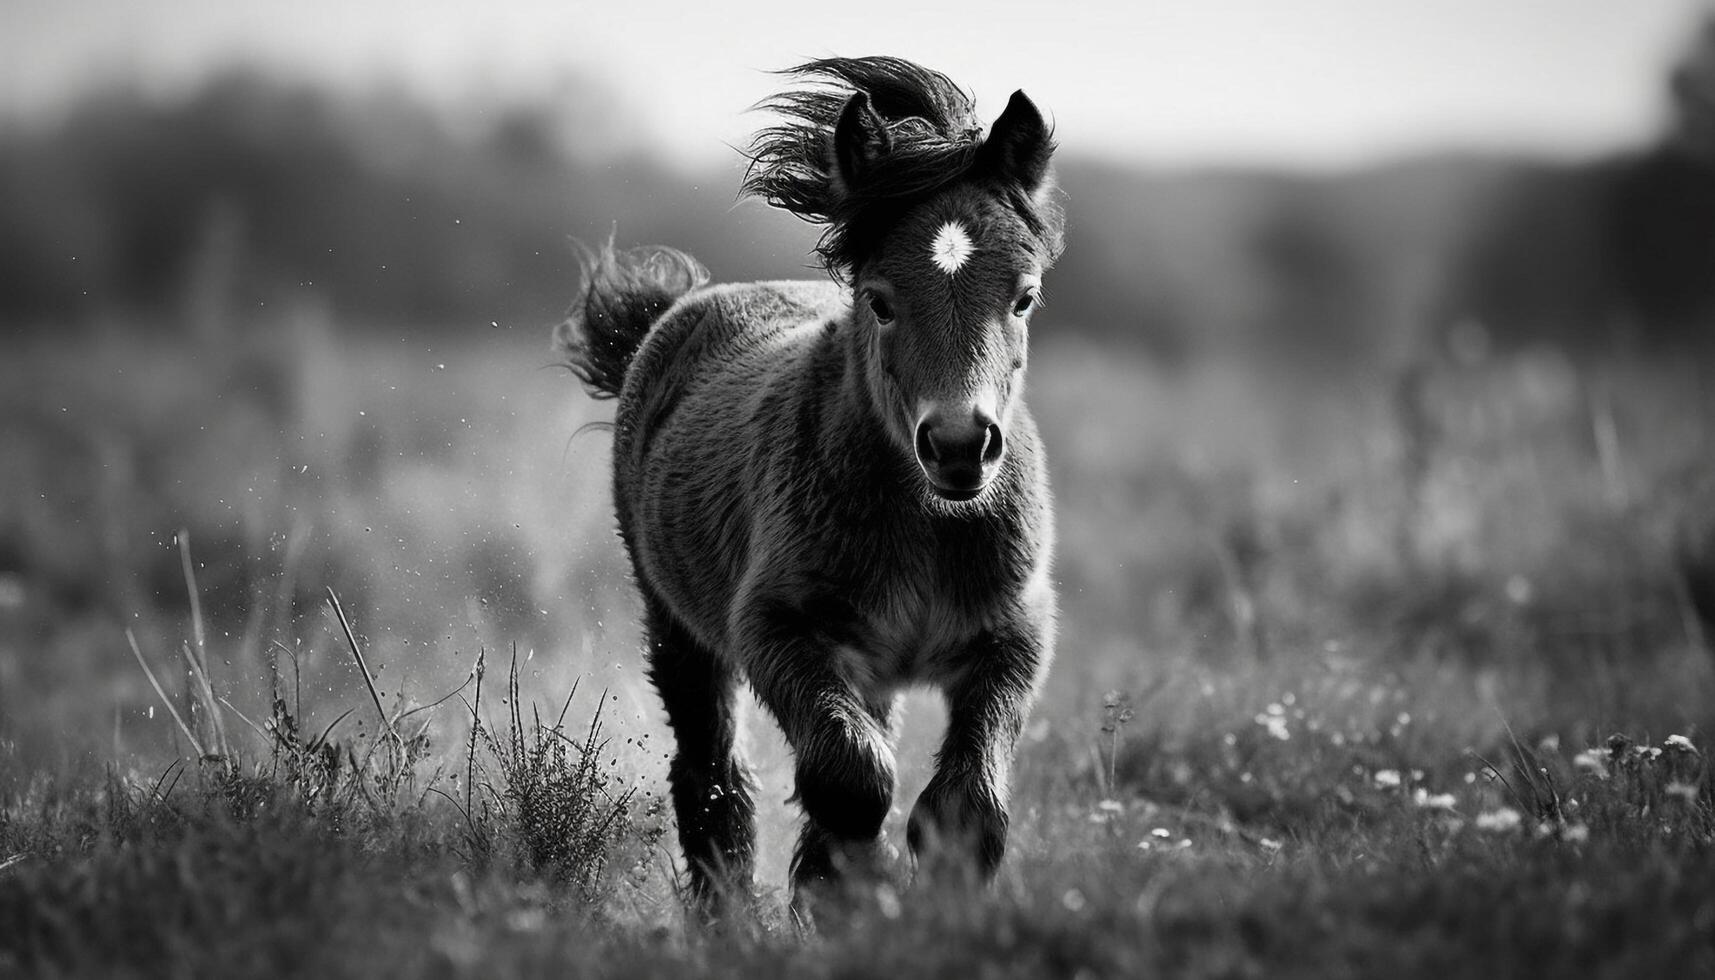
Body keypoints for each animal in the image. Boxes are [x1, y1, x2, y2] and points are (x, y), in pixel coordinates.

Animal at [552, 57, 1056, 919]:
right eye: (880, 300)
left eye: (1022, 296)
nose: (959, 446)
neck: (927, 523)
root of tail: (677, 310)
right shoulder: (776, 629)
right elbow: (851, 781)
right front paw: (853, 897)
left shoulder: (1011, 636)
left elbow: (961, 806)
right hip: (676, 624)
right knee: (712, 779)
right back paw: (728, 917)